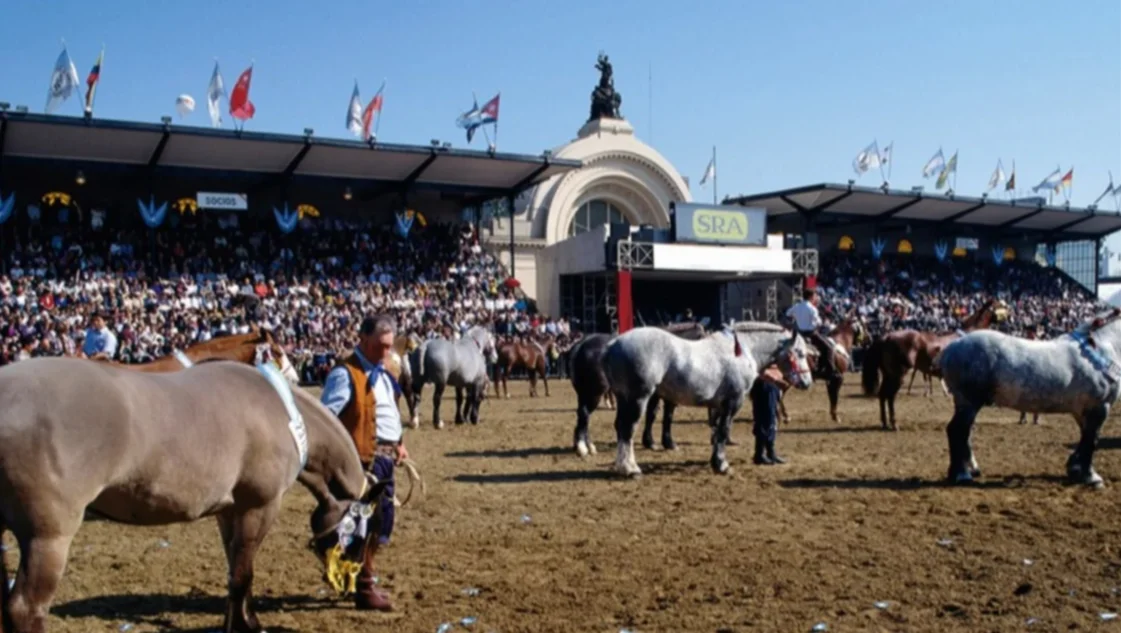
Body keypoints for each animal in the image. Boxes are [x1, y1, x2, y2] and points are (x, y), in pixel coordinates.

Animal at [0, 358, 390, 627]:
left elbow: (236, 571)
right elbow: (243, 574)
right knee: (25, 609)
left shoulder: (229, 511)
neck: (283, 414)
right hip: (48, 539)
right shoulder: (259, 507)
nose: (350, 583)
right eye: (363, 534)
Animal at [605, 322, 816, 477]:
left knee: (620, 427)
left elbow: (717, 431)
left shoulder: (719, 406)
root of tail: (612, 345)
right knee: (628, 429)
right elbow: (723, 431)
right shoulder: (733, 402)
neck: (743, 351)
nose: (807, 382)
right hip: (638, 399)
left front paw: (715, 461)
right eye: (800, 353)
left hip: (624, 400)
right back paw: (631, 469)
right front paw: (722, 465)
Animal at [860, 300, 1004, 430]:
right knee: (890, 396)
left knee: (882, 395)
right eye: (999, 305)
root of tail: (887, 337)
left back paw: (885, 423)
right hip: (897, 376)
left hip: (888, 375)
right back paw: (894, 424)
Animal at [937, 309, 1121, 486]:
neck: (1101, 348)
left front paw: (1075, 468)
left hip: (965, 403)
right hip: (969, 402)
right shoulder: (1099, 407)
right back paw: (961, 474)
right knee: (957, 430)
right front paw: (1091, 476)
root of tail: (952, 346)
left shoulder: (1082, 411)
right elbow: (1092, 440)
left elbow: (1085, 438)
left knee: (962, 432)